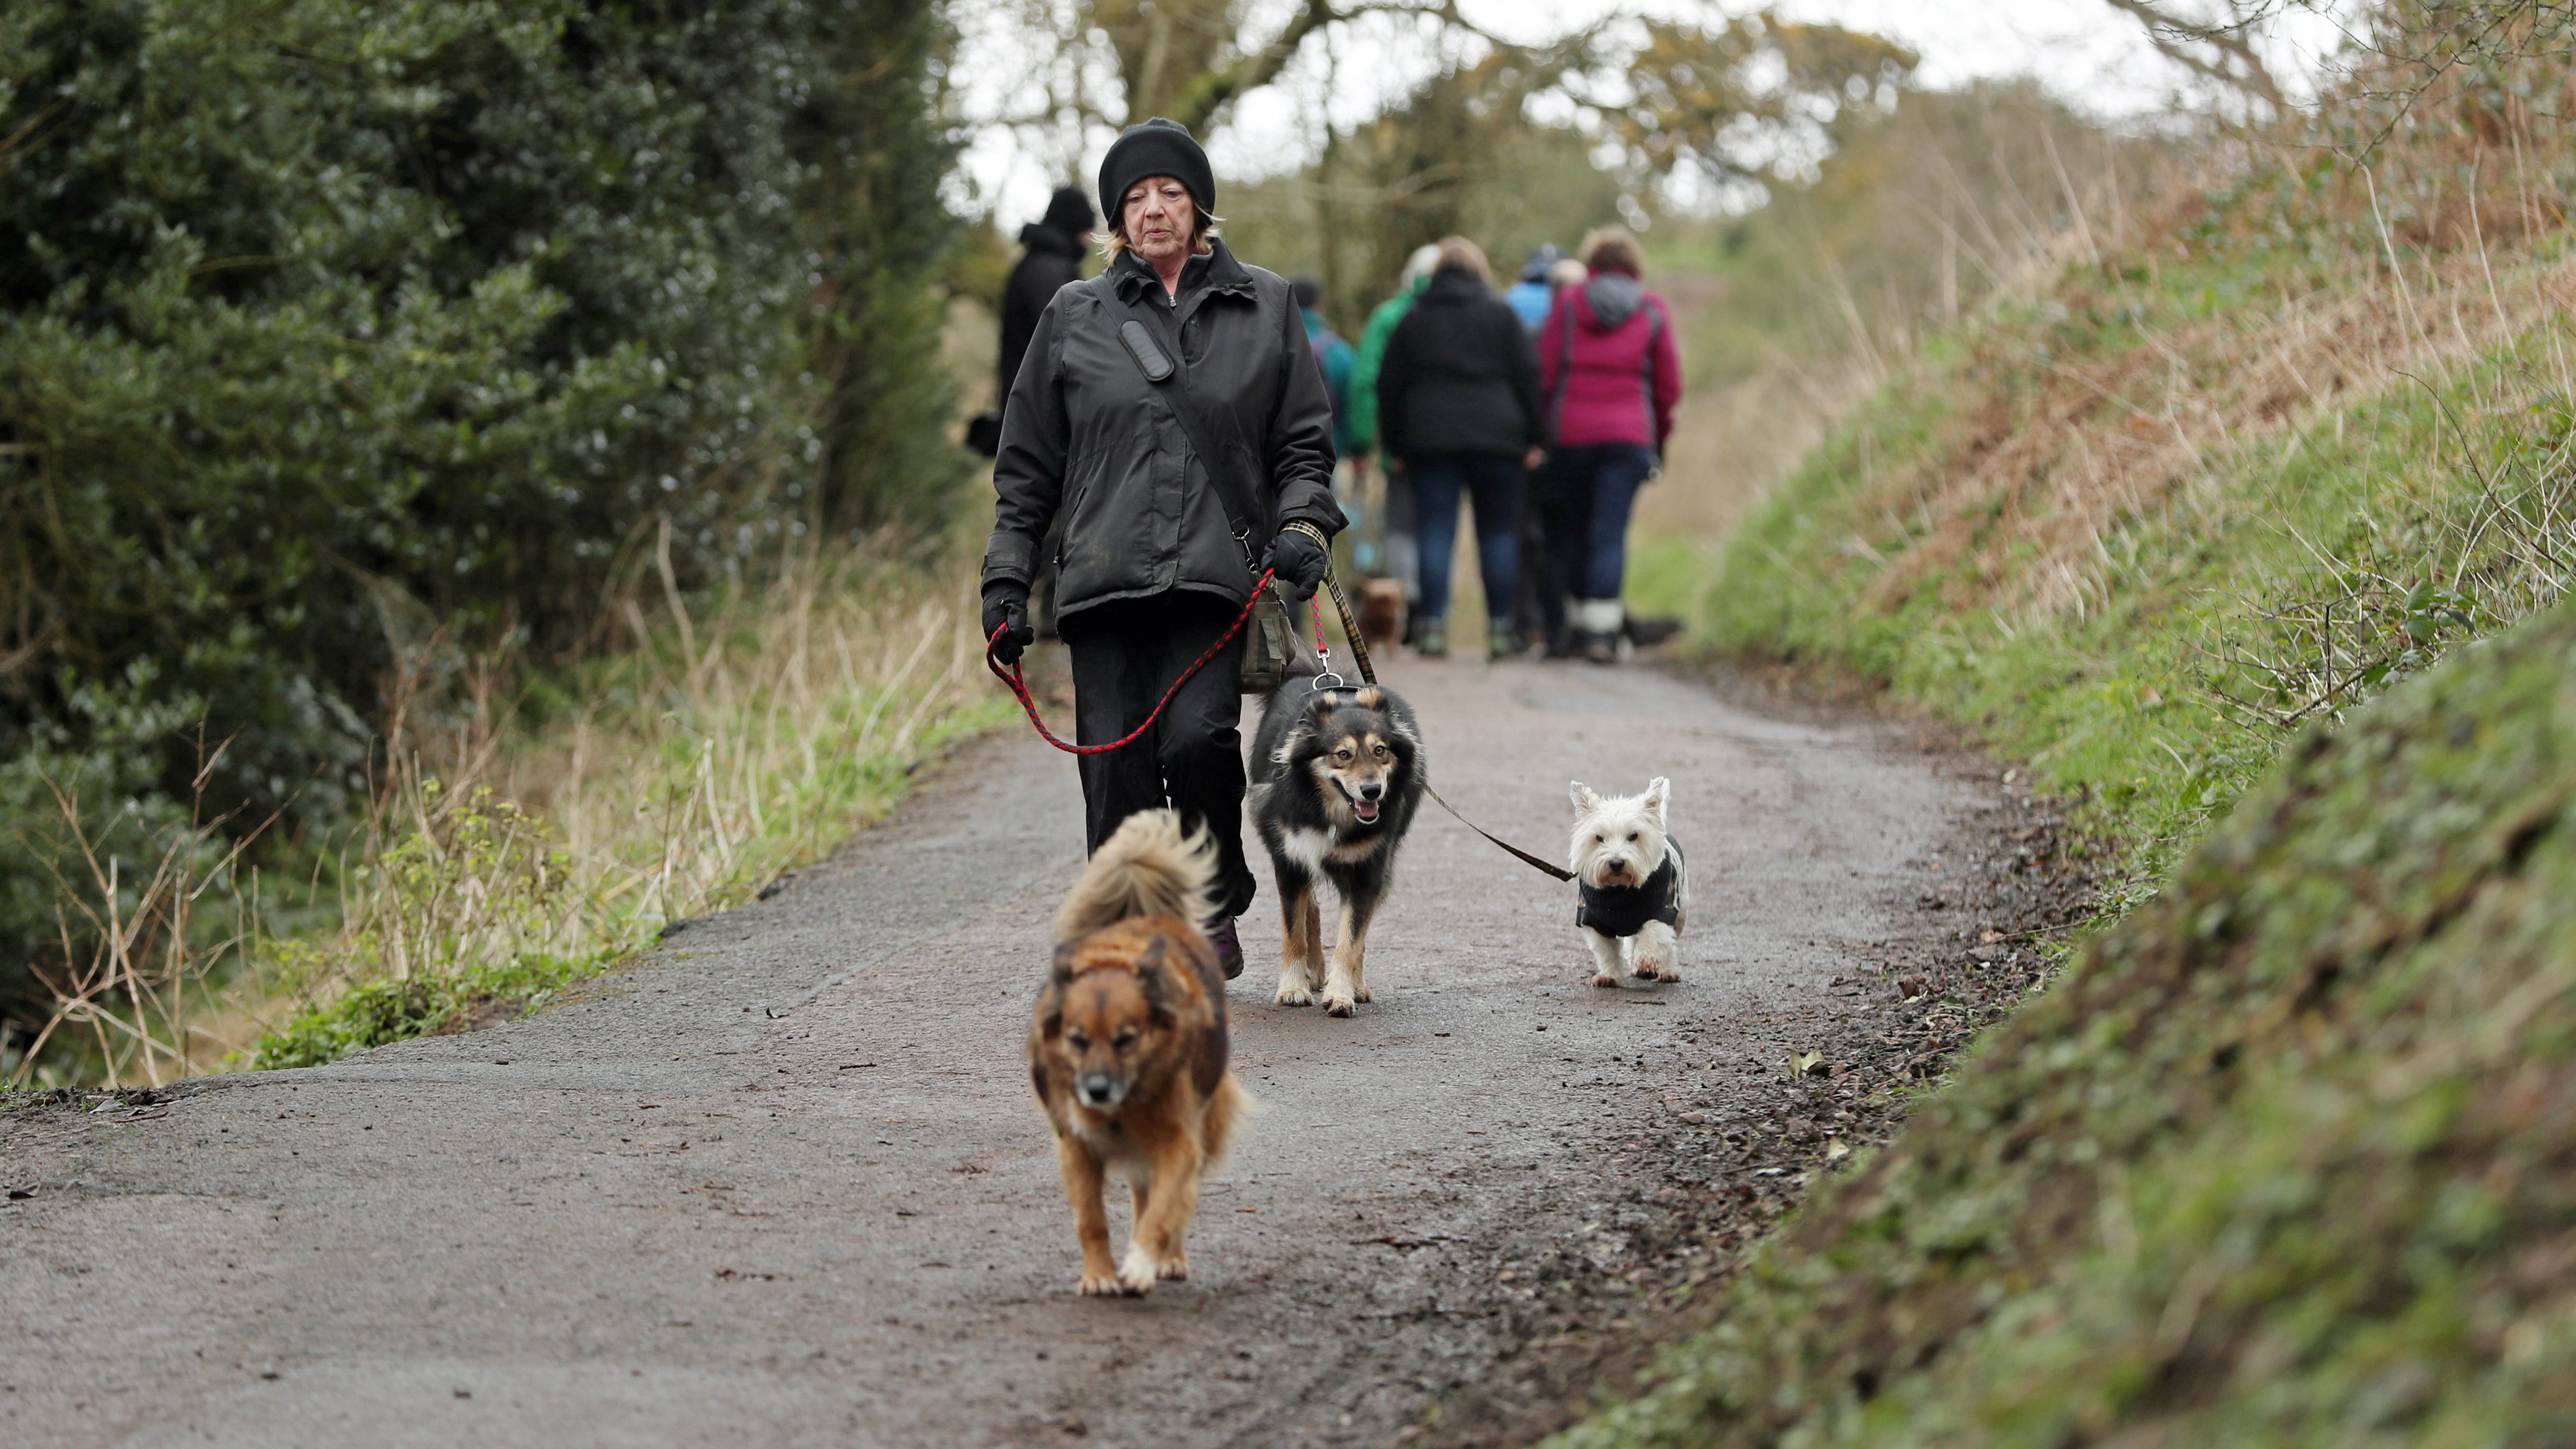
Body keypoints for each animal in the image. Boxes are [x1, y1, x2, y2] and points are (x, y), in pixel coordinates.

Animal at [1036, 804, 1257, 1289]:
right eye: (1077, 1040)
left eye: (1127, 1039)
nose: (1097, 1090)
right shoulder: (1077, 1145)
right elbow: (1092, 1219)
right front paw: (1100, 1276)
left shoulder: (1177, 1140)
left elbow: (1164, 1210)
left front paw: (1141, 1262)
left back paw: (1167, 1258)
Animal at [1247, 681, 1432, 1010]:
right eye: (1343, 754)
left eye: (1380, 750)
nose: (1373, 791)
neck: (1331, 814)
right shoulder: (1291, 863)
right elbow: (1293, 932)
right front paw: (1293, 987)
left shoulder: (1367, 873)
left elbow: (1351, 939)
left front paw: (1341, 993)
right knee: (1311, 907)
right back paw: (1314, 969)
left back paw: (1354, 984)